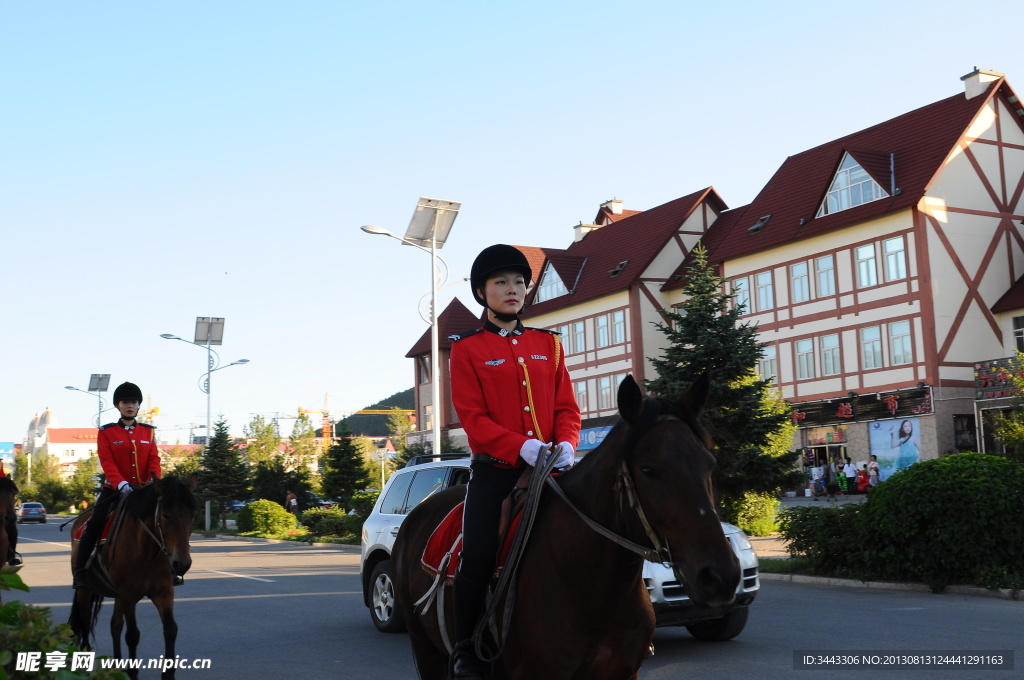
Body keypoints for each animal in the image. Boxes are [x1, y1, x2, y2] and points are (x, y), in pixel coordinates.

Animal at [68, 473, 197, 680]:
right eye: (165, 515)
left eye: (193, 515)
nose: (182, 563)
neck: (149, 551)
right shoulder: (128, 594)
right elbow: (133, 635)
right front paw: (132, 672)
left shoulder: (164, 592)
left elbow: (170, 629)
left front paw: (168, 674)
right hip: (85, 591)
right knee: (86, 621)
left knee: (115, 625)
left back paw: (117, 667)